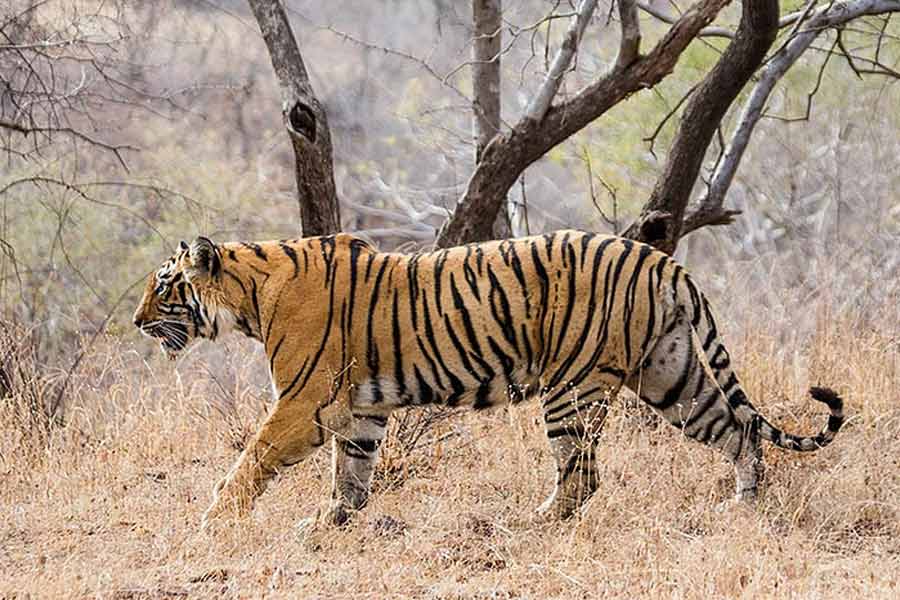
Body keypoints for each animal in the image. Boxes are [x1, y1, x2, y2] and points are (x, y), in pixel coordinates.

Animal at [132, 231, 844, 528]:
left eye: (164, 287)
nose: (137, 323)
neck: (250, 295)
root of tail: (659, 258)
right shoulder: (359, 411)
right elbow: (352, 475)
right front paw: (328, 525)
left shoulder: (303, 404)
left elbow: (249, 461)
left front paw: (213, 522)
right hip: (672, 376)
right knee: (737, 435)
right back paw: (742, 507)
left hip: (572, 389)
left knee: (582, 477)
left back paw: (536, 521)